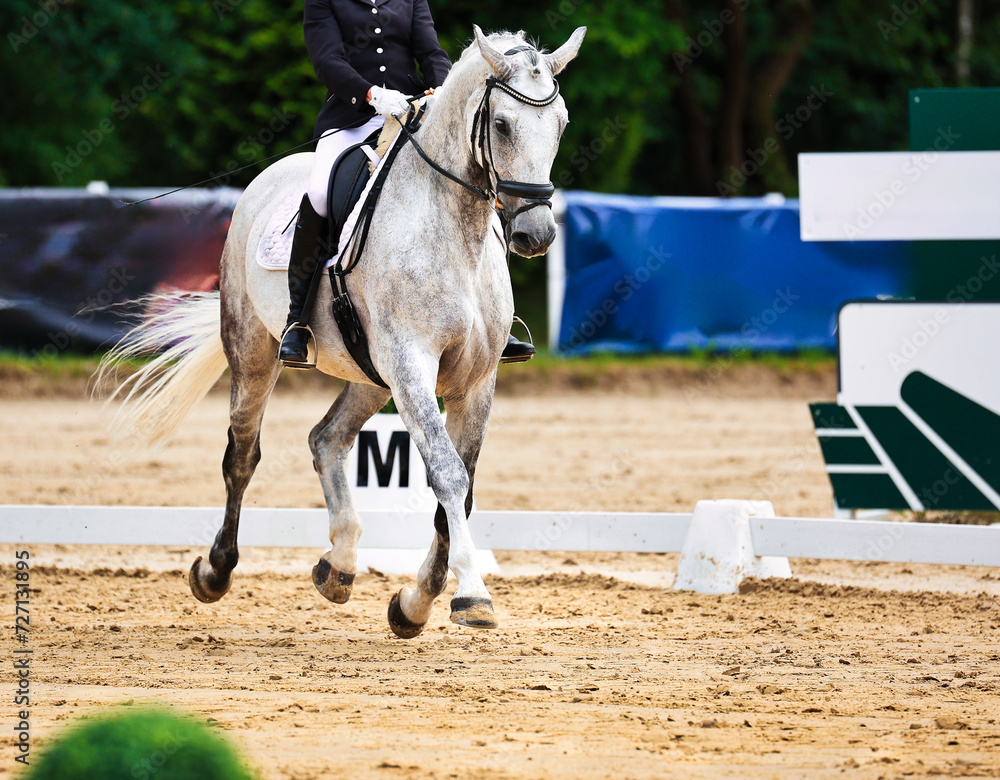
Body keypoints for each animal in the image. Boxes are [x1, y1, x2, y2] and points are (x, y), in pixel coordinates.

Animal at [98, 26, 586, 637]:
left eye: (561, 123)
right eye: (500, 124)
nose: (536, 234)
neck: (455, 232)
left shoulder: (475, 380)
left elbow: (463, 487)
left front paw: (414, 604)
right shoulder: (411, 364)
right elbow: (448, 475)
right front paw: (471, 595)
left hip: (371, 376)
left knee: (325, 438)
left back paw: (341, 563)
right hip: (256, 352)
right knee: (242, 454)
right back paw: (216, 571)